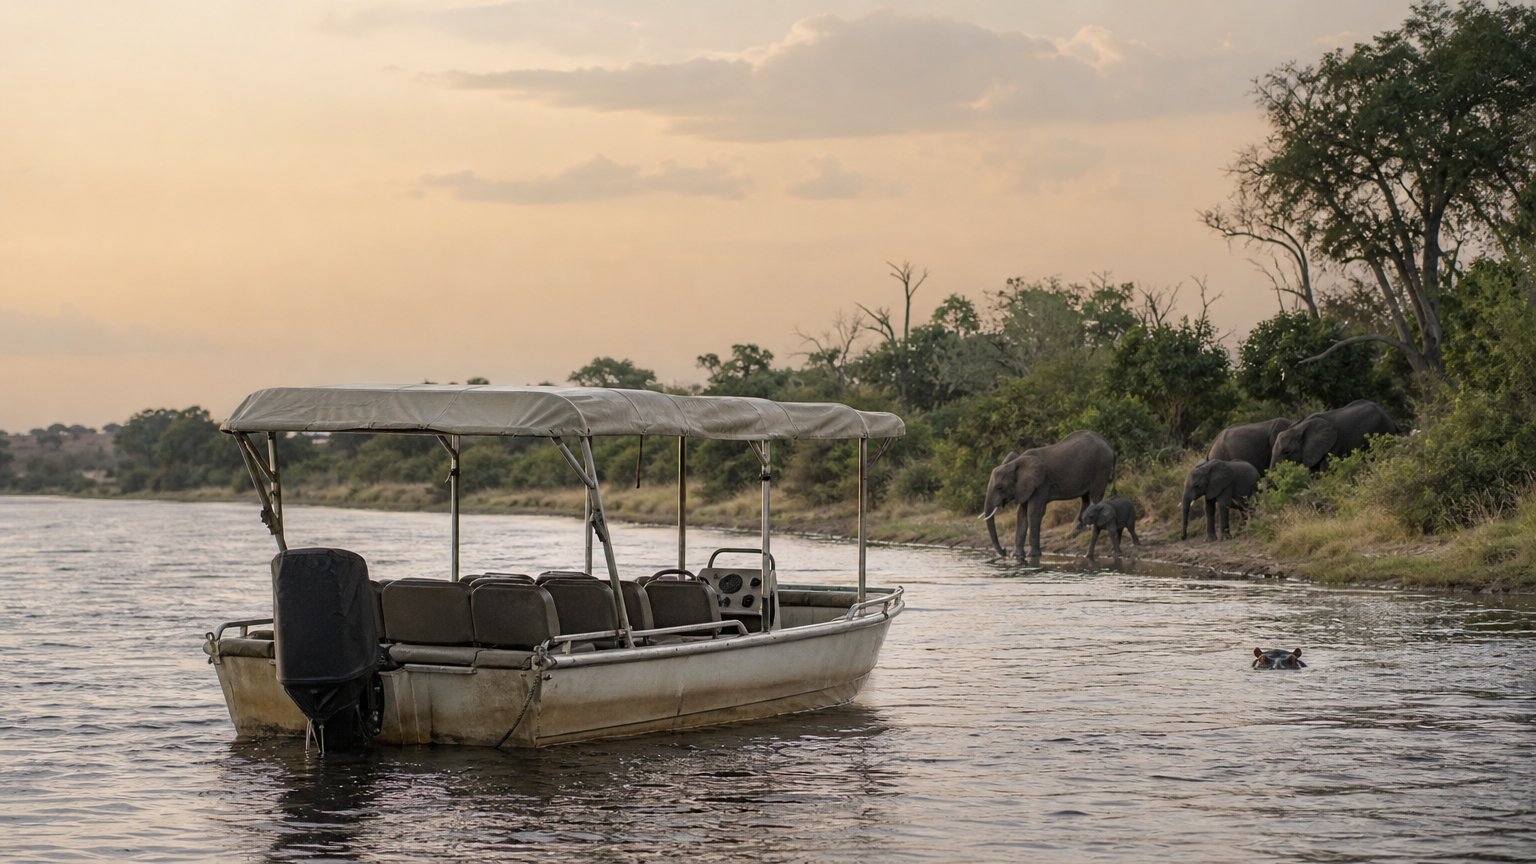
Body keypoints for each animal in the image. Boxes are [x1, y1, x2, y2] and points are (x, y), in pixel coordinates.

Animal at [981, 430, 1115, 560]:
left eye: (1000, 488)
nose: (1004, 552)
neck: (1016, 463)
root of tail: (1108, 444)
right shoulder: (1025, 487)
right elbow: (1022, 515)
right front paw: (1017, 556)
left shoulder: (1041, 483)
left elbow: (1034, 512)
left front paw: (1033, 555)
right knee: (1085, 497)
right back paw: (1077, 530)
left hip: (1101, 467)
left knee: (1094, 496)